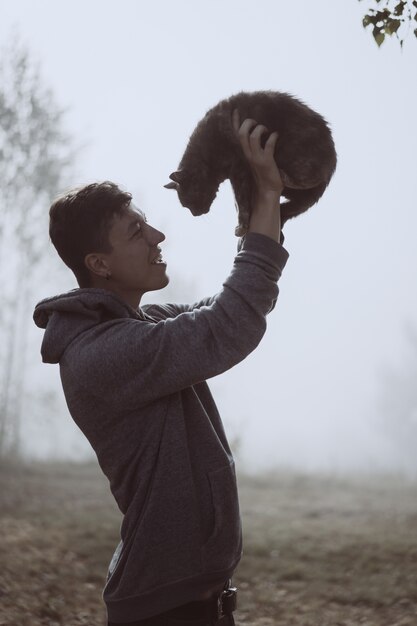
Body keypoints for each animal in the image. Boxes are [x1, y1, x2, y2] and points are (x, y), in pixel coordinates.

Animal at [164, 92, 336, 236]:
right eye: (186, 206)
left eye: (189, 201)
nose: (195, 214)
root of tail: (333, 158)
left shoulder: (238, 168)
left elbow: (240, 201)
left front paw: (241, 226)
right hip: (301, 196)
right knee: (292, 207)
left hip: (294, 152)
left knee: (311, 176)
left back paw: (283, 175)